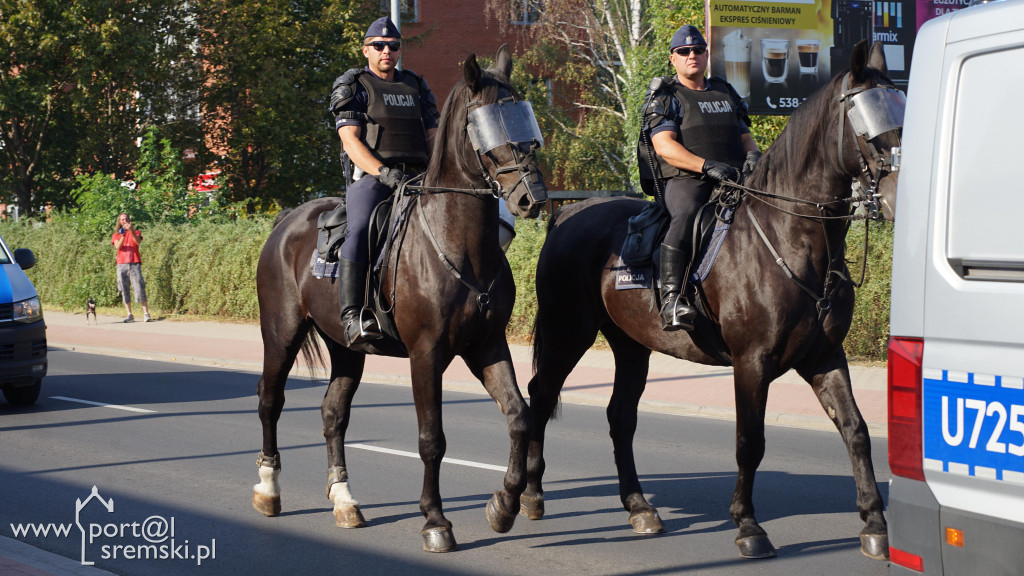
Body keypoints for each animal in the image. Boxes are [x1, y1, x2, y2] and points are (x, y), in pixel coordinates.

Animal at [251, 45, 548, 553]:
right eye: (484, 122)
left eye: (522, 116)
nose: (533, 197)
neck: (459, 244)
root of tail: (287, 220)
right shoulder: (426, 354)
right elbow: (432, 439)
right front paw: (435, 521)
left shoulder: (487, 346)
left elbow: (519, 416)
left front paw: (504, 505)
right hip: (281, 334)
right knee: (271, 401)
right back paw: (269, 490)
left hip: (347, 349)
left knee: (333, 414)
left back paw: (345, 501)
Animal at [524, 42, 901, 557]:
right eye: (866, 119)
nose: (899, 194)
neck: (791, 237)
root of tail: (566, 214)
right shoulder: (752, 361)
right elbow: (749, 442)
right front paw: (748, 526)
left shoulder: (824, 356)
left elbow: (857, 430)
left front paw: (874, 523)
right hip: (568, 333)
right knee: (540, 396)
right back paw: (527, 494)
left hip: (631, 346)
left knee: (619, 416)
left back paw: (639, 508)